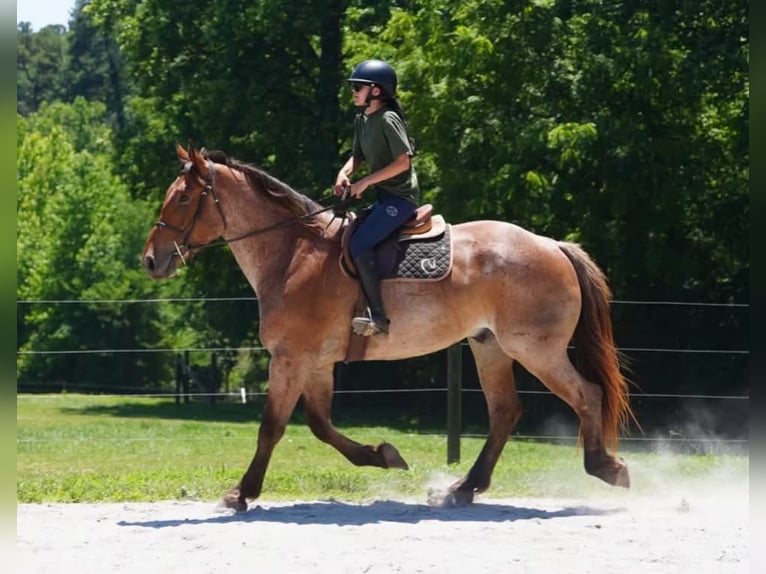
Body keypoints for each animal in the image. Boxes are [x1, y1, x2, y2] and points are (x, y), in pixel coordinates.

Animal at [142, 142, 634, 512]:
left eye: (183, 198)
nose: (151, 260)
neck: (293, 253)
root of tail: (553, 244)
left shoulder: (290, 358)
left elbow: (273, 427)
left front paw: (241, 493)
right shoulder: (315, 363)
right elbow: (320, 425)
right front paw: (383, 456)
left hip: (536, 350)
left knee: (587, 395)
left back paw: (606, 467)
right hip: (490, 347)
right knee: (505, 413)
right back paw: (464, 488)